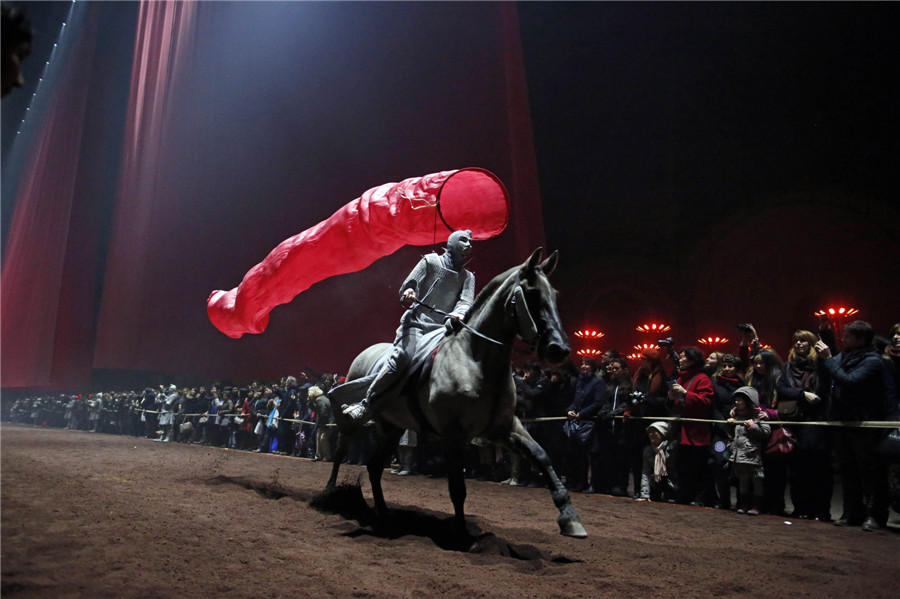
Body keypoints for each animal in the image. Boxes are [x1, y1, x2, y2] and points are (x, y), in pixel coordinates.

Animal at [326, 248, 588, 540]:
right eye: (532, 294)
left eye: (554, 295)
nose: (559, 349)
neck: (475, 360)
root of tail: (365, 353)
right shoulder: (453, 435)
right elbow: (457, 487)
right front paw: (461, 533)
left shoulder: (504, 428)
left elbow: (541, 455)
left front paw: (570, 517)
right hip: (355, 421)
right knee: (341, 451)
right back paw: (331, 493)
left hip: (392, 428)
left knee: (374, 466)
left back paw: (383, 512)